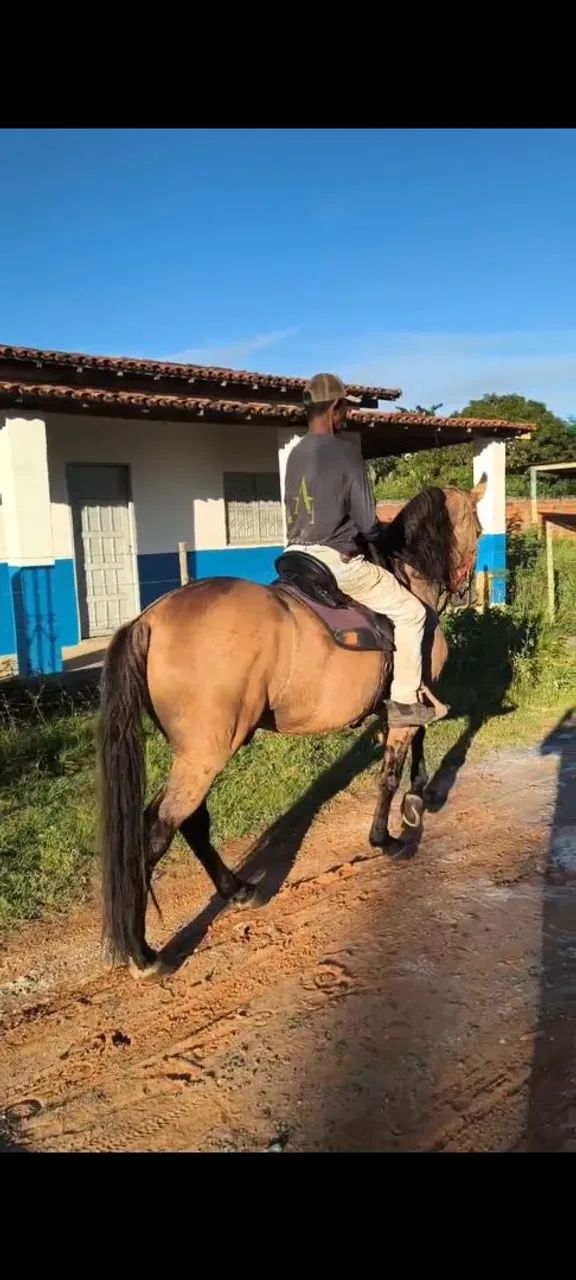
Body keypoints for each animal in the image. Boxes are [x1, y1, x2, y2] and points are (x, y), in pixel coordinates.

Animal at [99, 481, 485, 978]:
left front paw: (419, 797)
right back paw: (144, 954)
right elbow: (392, 768)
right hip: (205, 754)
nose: (464, 592)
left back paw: (238, 890)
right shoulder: (410, 690)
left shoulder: (408, 697)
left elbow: (413, 740)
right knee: (157, 832)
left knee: (192, 823)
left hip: (194, 753)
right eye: (479, 529)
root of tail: (148, 618)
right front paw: (388, 836)